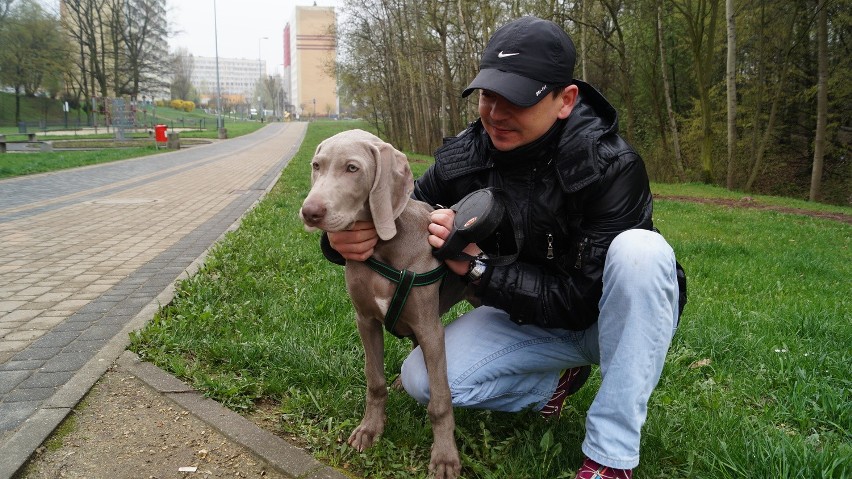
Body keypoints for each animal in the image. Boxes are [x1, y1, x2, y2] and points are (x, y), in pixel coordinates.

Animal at [298, 129, 460, 478]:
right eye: (317, 166)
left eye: (352, 168)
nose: (309, 212)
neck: (385, 246)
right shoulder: (365, 320)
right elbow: (374, 380)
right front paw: (370, 430)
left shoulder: (431, 329)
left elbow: (440, 399)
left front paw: (444, 457)